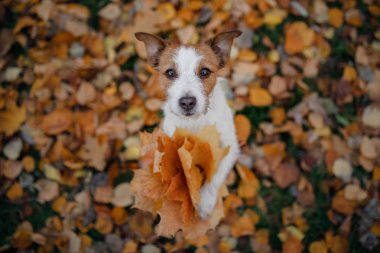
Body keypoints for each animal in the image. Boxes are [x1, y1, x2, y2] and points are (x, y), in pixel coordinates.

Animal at [134, 30, 240, 219]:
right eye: (170, 73)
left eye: (204, 72)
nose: (187, 102)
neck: (195, 122)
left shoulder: (230, 147)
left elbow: (215, 175)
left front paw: (205, 203)